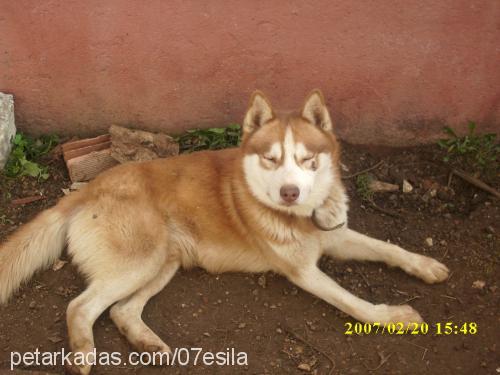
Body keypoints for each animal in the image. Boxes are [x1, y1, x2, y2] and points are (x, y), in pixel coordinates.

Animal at [0, 89, 450, 374]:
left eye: (307, 159)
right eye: (271, 159)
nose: (290, 192)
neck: (301, 216)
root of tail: (87, 188)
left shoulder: (336, 237)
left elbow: (389, 247)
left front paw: (425, 265)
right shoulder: (303, 271)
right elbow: (354, 303)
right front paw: (392, 316)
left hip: (164, 262)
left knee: (120, 311)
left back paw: (149, 345)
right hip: (141, 260)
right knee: (81, 307)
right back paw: (82, 356)